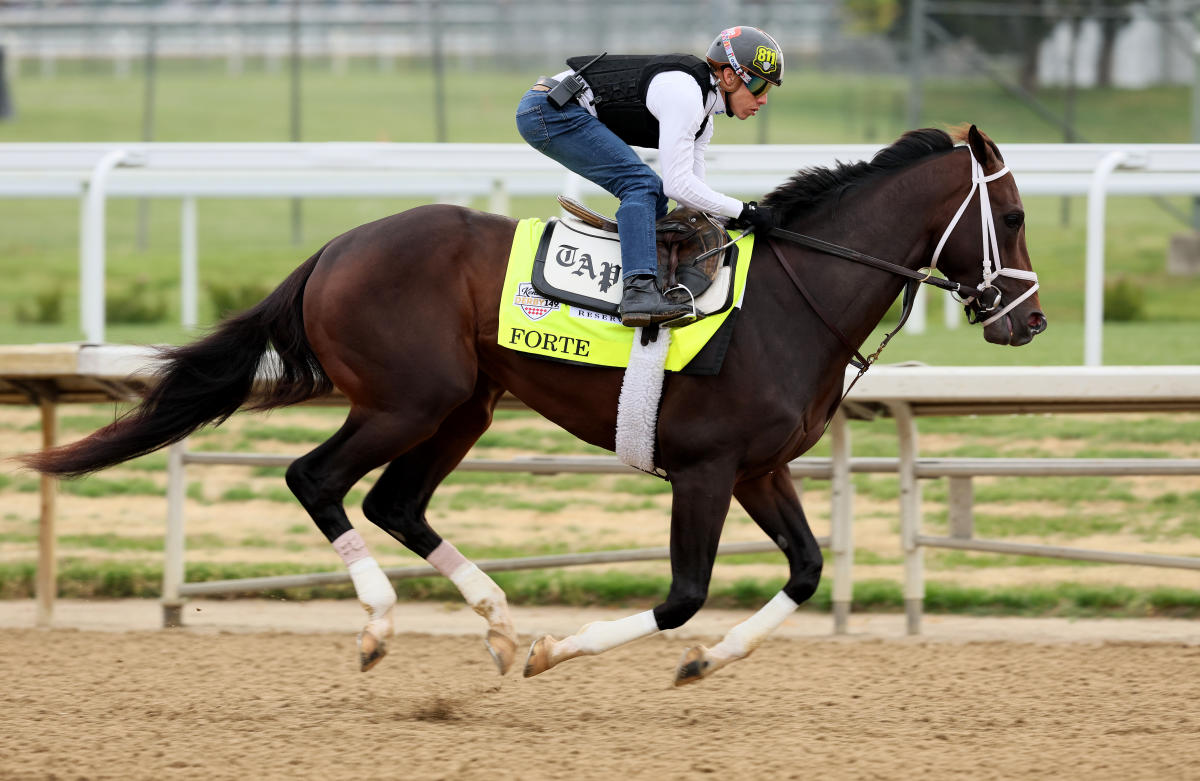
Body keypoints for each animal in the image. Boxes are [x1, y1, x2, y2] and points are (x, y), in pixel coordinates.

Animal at [23, 123, 1046, 686]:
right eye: (1016, 217)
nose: (1030, 319)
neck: (796, 297)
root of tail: (337, 247)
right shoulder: (706, 470)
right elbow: (682, 594)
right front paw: (568, 652)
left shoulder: (759, 468)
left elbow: (804, 571)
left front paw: (702, 662)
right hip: (409, 398)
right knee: (317, 479)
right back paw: (383, 624)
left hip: (465, 406)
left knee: (396, 501)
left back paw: (500, 623)